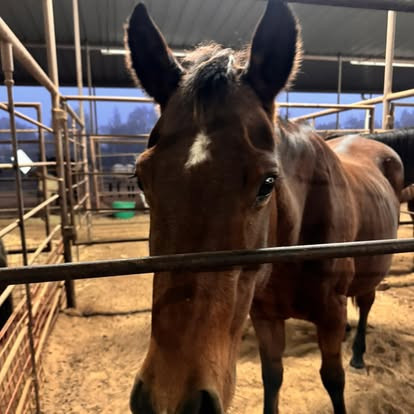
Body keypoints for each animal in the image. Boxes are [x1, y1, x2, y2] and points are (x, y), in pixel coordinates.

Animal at [125, 1, 403, 413]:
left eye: (267, 183)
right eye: (142, 179)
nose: (169, 400)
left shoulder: (331, 315)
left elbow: (333, 379)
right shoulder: (265, 315)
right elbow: (272, 377)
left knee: (366, 304)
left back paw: (358, 353)